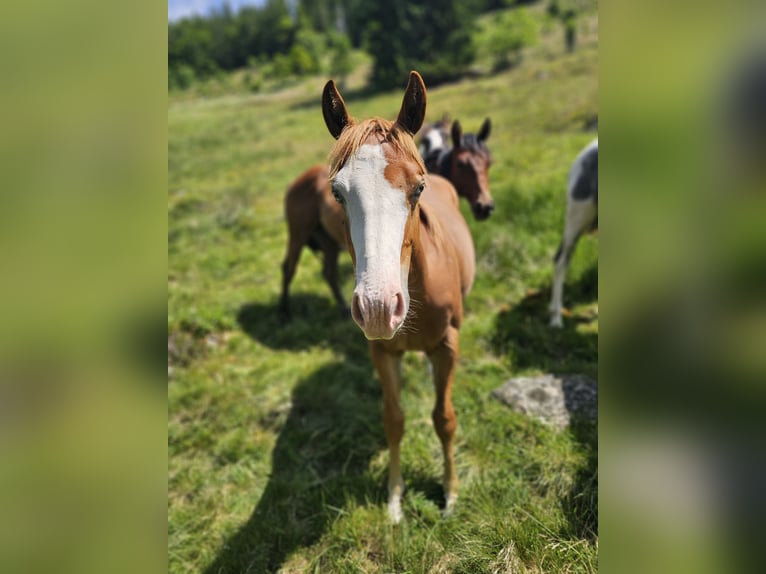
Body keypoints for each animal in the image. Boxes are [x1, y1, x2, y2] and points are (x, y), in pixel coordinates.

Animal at [279, 111, 491, 318]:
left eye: (488, 162)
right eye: (462, 164)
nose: (485, 206)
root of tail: (294, 183)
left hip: (328, 241)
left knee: (329, 273)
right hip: (298, 234)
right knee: (288, 267)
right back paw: (284, 313)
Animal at [321, 71, 475, 523]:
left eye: (418, 188)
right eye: (337, 193)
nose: (378, 308)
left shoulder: (447, 345)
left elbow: (444, 418)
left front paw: (450, 493)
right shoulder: (383, 352)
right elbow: (393, 420)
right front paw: (393, 497)